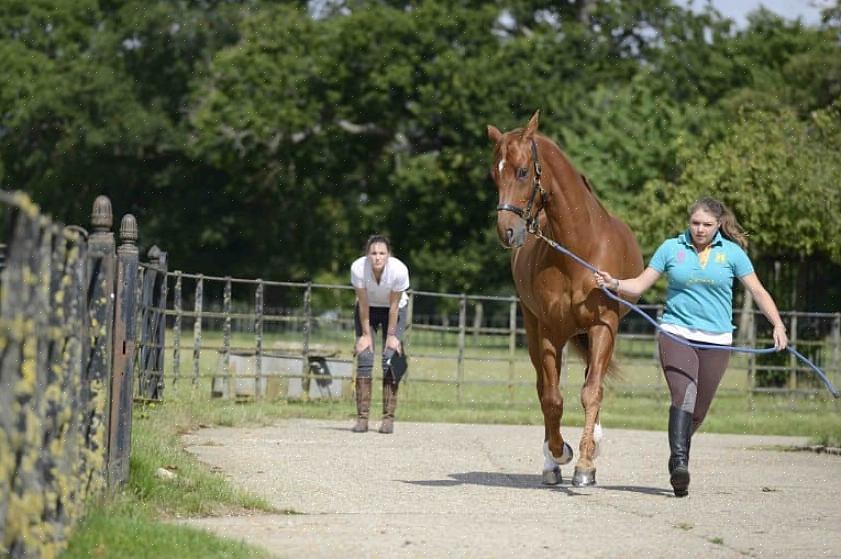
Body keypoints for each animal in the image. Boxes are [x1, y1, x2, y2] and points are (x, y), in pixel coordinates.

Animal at [486, 110, 644, 486]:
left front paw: (586, 463)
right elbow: (552, 398)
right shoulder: (549, 332)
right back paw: (551, 463)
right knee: (543, 388)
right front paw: (560, 454)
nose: (507, 231)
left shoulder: (604, 327)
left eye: (522, 171)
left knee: (591, 383)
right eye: (494, 173)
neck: (579, 249)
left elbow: (592, 392)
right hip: (532, 330)